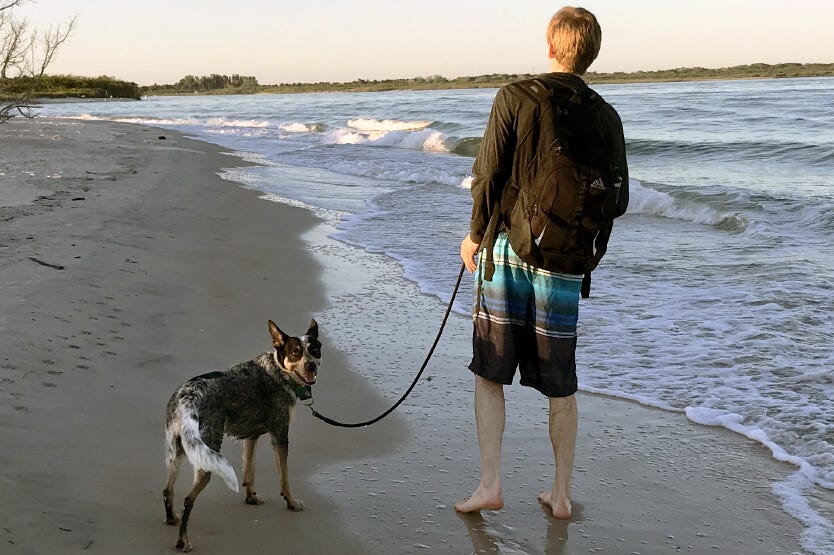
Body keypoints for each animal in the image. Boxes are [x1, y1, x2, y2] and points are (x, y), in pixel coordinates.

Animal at [162, 320, 318, 552]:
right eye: (295, 353)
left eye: (315, 349)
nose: (311, 366)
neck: (279, 371)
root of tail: (187, 398)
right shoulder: (280, 436)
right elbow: (284, 478)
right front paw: (292, 502)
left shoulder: (251, 437)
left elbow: (249, 471)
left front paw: (251, 497)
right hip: (207, 456)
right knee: (188, 499)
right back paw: (183, 541)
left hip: (177, 453)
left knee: (167, 490)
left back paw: (172, 518)